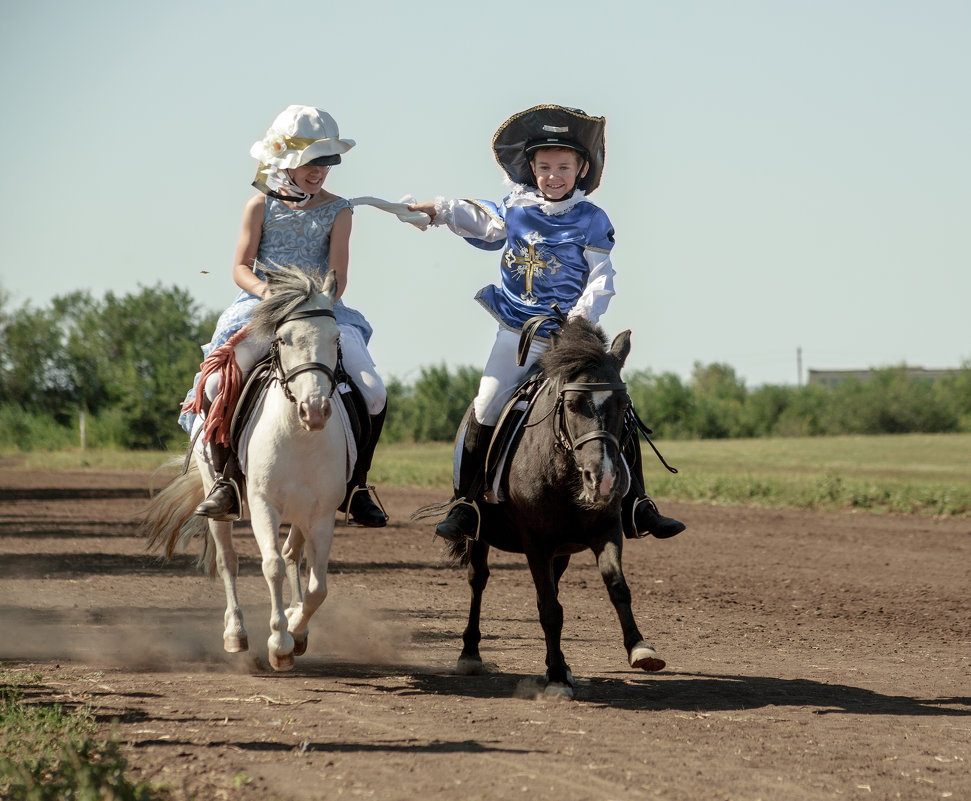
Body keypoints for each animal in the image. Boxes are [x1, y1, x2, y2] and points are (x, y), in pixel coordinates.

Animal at [140, 264, 346, 668]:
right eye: (283, 339)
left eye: (335, 338)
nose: (315, 410)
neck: (299, 436)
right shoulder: (265, 504)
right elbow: (271, 566)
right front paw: (279, 643)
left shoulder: (321, 514)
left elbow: (318, 586)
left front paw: (296, 627)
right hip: (216, 493)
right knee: (228, 560)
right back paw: (236, 633)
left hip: (302, 512)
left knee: (294, 556)